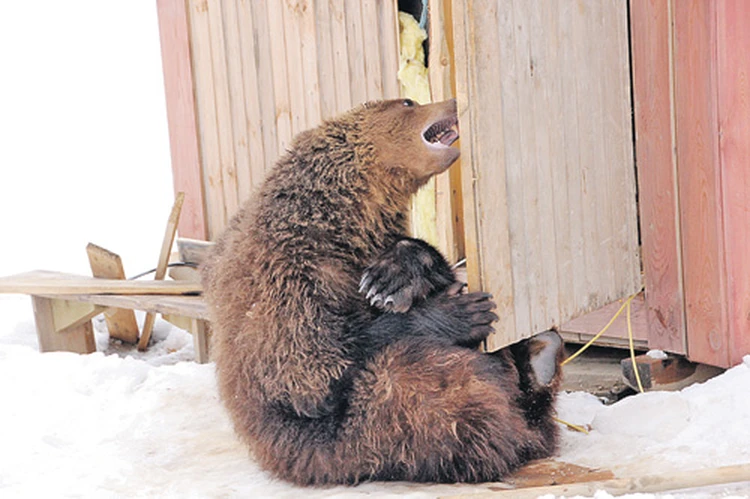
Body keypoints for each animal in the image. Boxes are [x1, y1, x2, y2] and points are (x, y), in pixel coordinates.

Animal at [200, 96, 564, 484]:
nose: (453, 100)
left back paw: (539, 354)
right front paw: (460, 313)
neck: (343, 225)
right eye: (408, 101)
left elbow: (420, 258)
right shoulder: (287, 283)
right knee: (418, 383)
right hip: (354, 441)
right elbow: (315, 369)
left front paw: (392, 277)